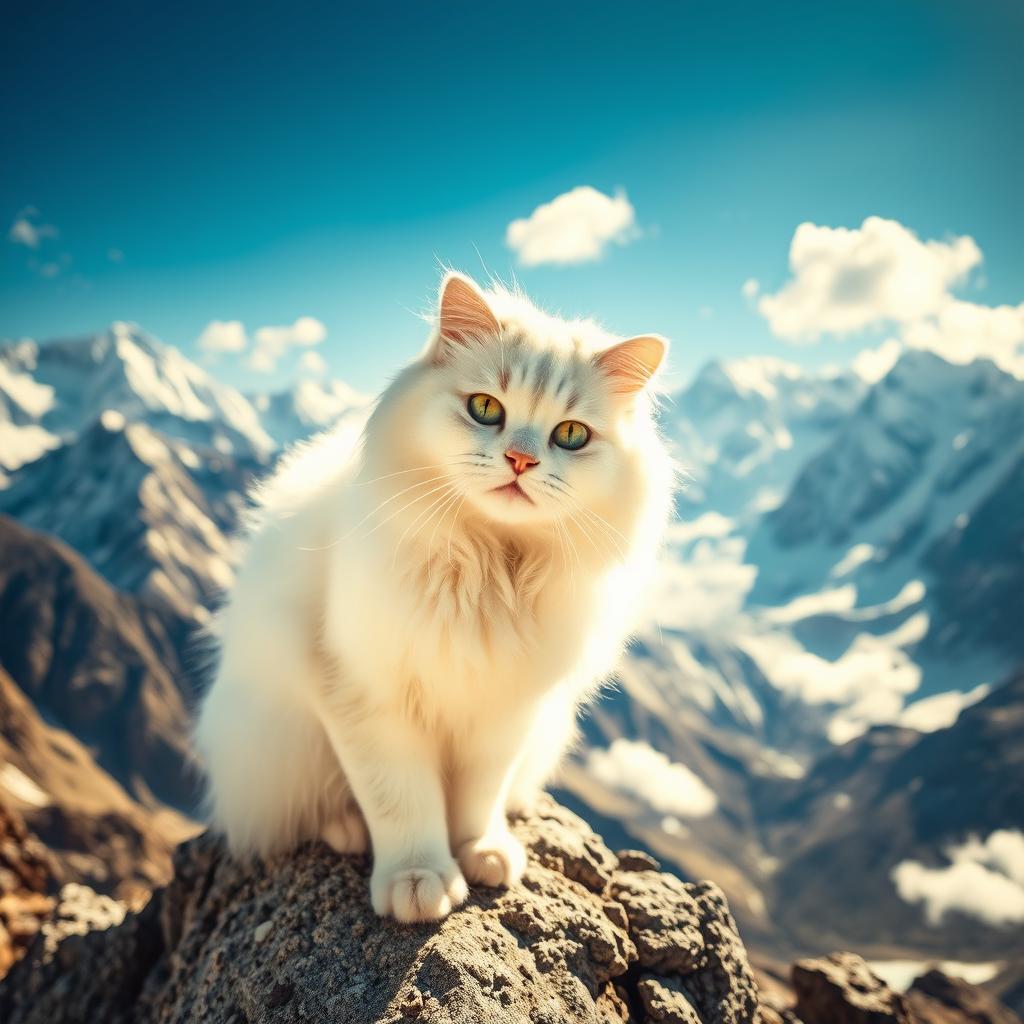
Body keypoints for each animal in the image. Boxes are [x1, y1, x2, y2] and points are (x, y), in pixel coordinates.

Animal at [193, 272, 671, 921]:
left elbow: (477, 799)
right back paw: (347, 829)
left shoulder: (503, 712)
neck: (492, 570)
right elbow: (401, 801)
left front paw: (483, 854)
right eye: (485, 409)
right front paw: (418, 882)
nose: (521, 460)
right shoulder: (366, 694)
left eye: (571, 435)